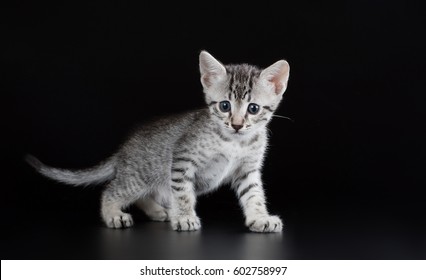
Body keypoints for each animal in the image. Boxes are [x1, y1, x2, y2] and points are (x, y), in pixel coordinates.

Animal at [25, 50, 290, 232]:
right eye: (225, 106)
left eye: (253, 108)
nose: (236, 124)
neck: (235, 142)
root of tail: (124, 148)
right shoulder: (182, 159)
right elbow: (183, 193)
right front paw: (184, 217)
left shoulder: (248, 169)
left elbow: (253, 194)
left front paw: (260, 218)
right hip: (140, 175)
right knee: (110, 190)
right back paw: (113, 214)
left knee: (145, 196)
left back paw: (158, 211)